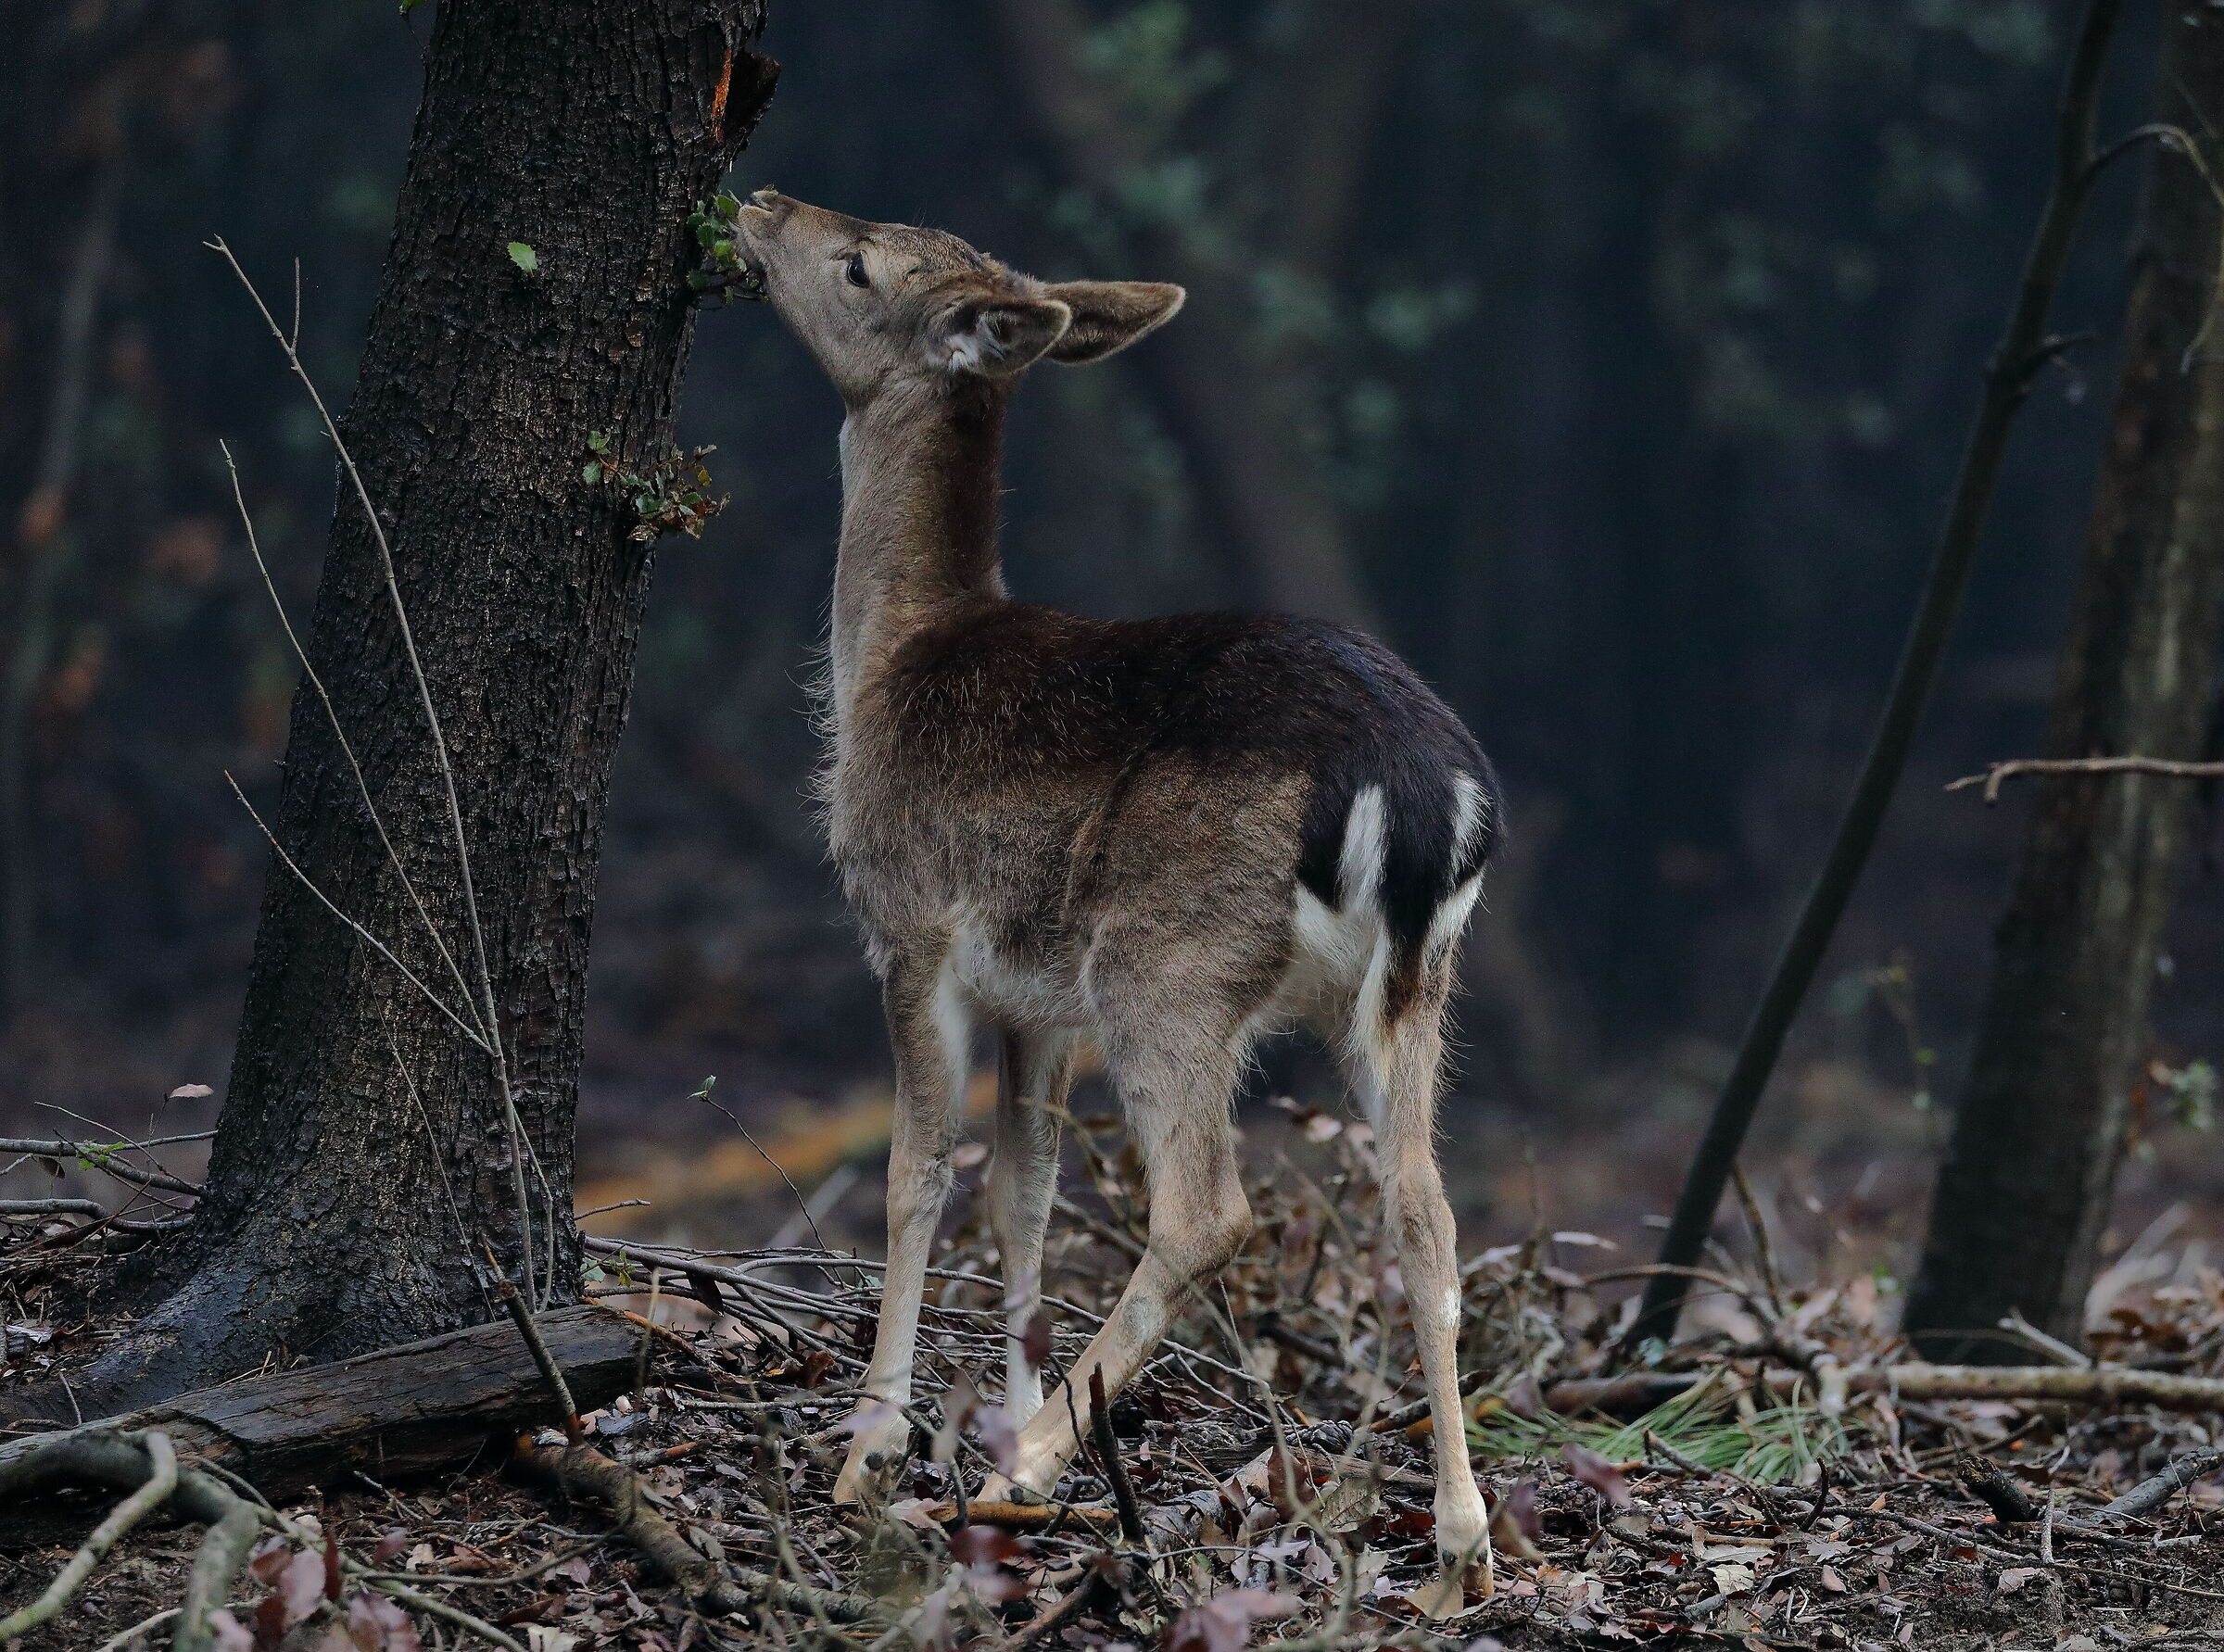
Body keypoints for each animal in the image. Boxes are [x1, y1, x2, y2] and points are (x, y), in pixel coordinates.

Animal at [731, 188, 1504, 1600]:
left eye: (861, 262)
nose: (761, 202)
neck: (886, 663)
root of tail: (1425, 794)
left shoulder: (913, 929)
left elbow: (916, 1175)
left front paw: (873, 1449)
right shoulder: (1038, 998)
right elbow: (1022, 1191)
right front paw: (991, 1402)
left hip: (1168, 964)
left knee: (1209, 1210)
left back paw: (1032, 1463)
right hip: (1414, 988)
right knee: (1426, 1208)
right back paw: (1464, 1540)